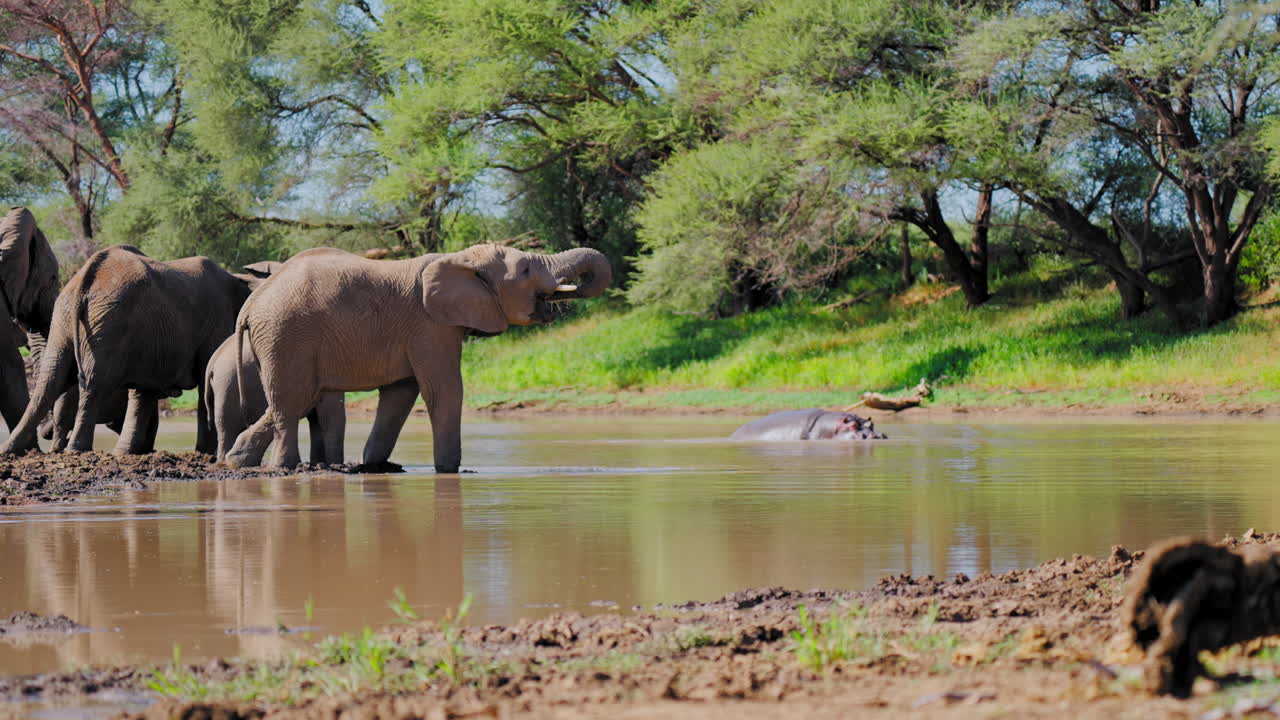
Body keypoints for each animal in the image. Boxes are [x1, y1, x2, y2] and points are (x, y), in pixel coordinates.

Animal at [0, 245, 258, 456]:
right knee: (94, 384)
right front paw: (204, 453)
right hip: (107, 324)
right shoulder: (215, 324)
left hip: (68, 320)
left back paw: (17, 449)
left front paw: (127, 452)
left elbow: (143, 392)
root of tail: (85, 277)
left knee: (54, 378)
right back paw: (76, 450)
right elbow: (203, 382)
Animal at [224, 243, 611, 471]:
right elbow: (445, 391)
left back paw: (237, 461)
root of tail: (251, 304)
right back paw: (283, 469)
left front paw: (372, 466)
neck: (459, 258)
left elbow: (400, 394)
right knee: (291, 400)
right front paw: (450, 472)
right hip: (286, 337)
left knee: (293, 399)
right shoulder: (430, 325)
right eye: (527, 271)